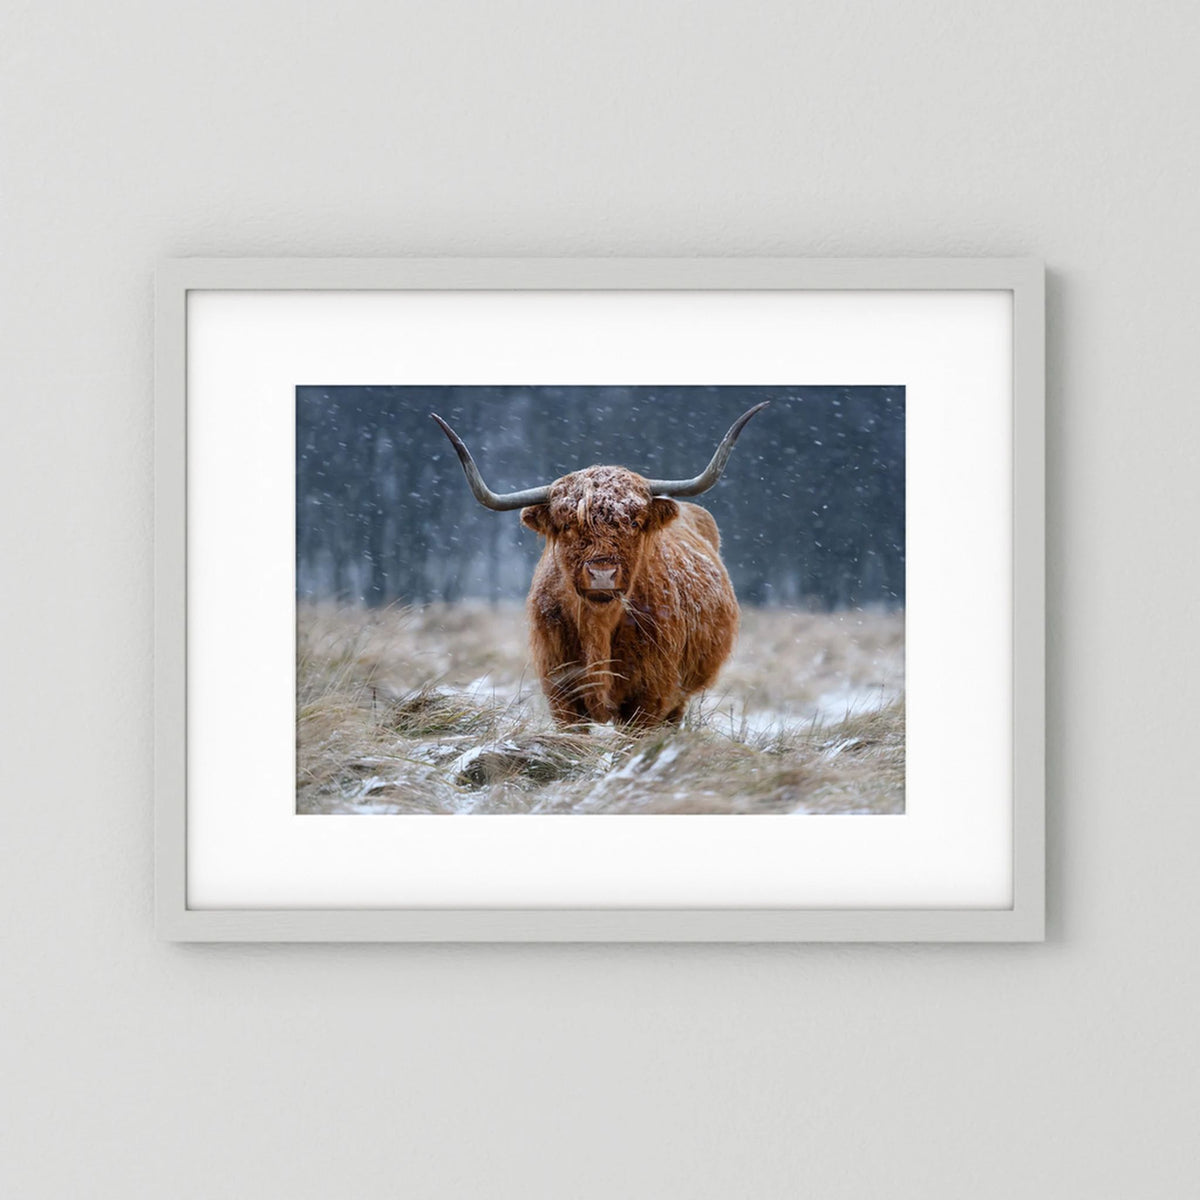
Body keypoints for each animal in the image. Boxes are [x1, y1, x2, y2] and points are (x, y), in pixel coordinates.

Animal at [431, 403, 768, 729]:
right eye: (568, 525)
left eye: (634, 522)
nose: (602, 574)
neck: (598, 626)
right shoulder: (561, 693)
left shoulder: (650, 696)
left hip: (679, 697)